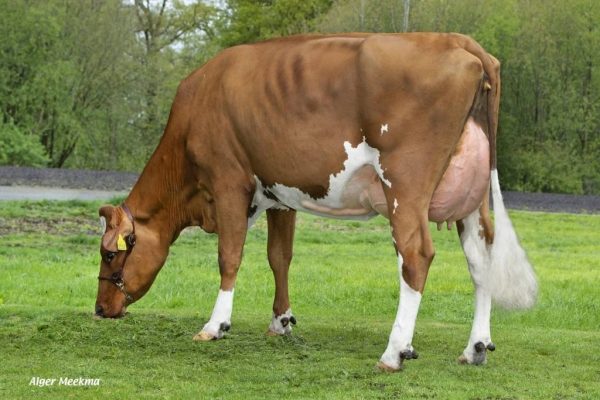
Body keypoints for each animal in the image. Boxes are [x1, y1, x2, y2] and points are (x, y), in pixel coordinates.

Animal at [96, 32, 536, 370]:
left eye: (109, 253)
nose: (100, 310)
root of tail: (456, 39)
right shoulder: (279, 195)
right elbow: (279, 257)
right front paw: (281, 321)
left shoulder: (228, 181)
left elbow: (229, 255)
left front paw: (215, 326)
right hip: (472, 198)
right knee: (480, 259)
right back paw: (474, 348)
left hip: (405, 185)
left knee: (416, 255)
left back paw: (394, 352)